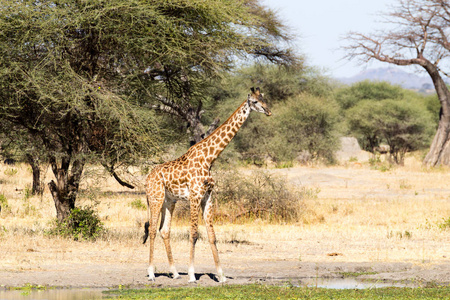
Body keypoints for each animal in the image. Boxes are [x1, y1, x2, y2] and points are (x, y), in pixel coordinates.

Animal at [143, 87, 270, 284]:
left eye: (264, 98)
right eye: (255, 102)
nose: (268, 111)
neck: (210, 158)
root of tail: (147, 179)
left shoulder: (208, 196)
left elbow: (212, 236)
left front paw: (221, 275)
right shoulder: (195, 196)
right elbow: (194, 234)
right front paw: (192, 275)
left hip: (168, 202)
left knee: (164, 230)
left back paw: (175, 272)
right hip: (155, 199)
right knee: (152, 230)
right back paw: (151, 273)